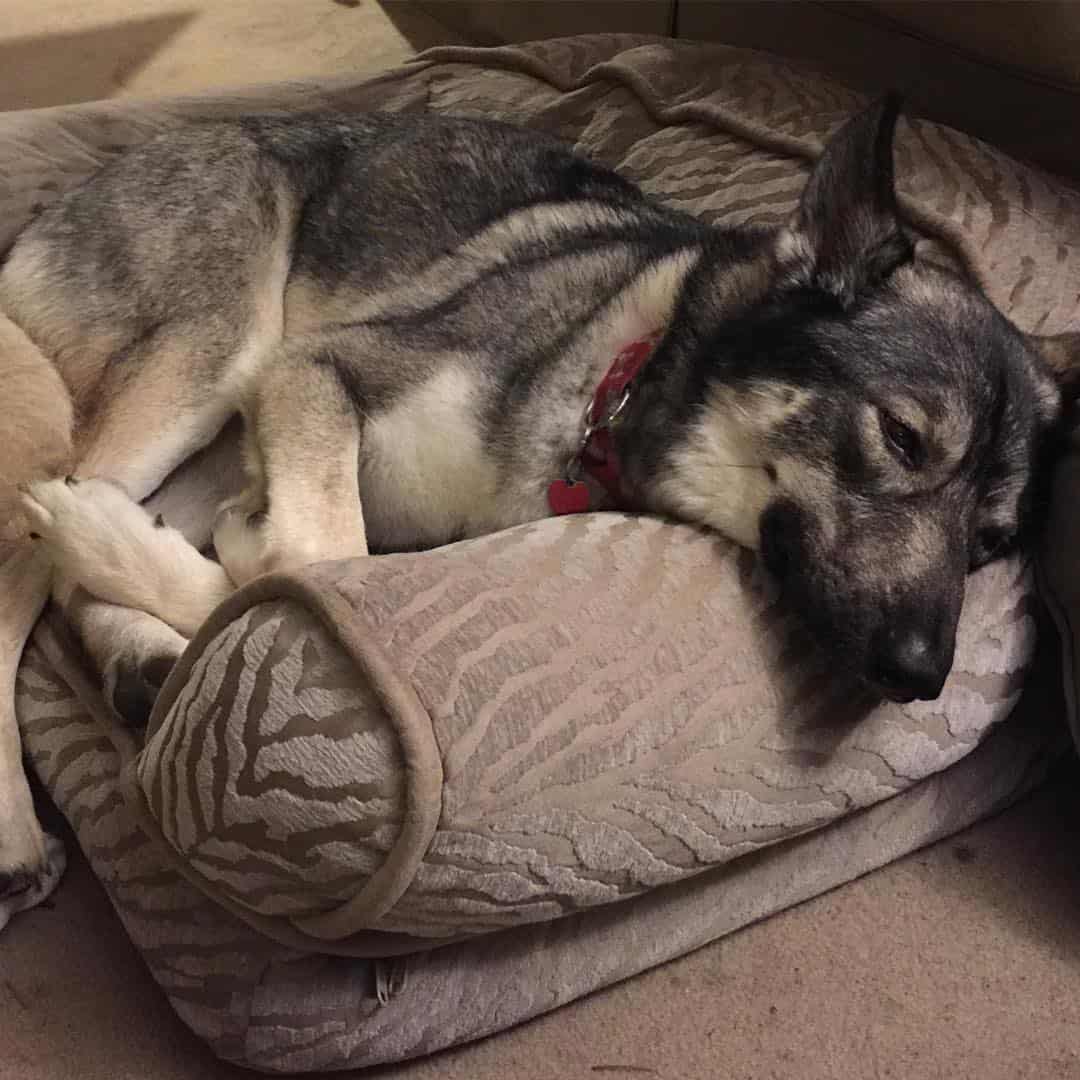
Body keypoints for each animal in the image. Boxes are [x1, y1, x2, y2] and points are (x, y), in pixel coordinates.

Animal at [0, 97, 1075, 915]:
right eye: (902, 438)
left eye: (991, 543)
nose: (922, 674)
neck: (612, 388)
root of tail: (52, 210)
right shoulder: (318, 370)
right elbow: (316, 555)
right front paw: (209, 547)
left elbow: (300, 557)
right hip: (213, 350)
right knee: (26, 567)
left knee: (69, 570)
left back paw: (135, 647)